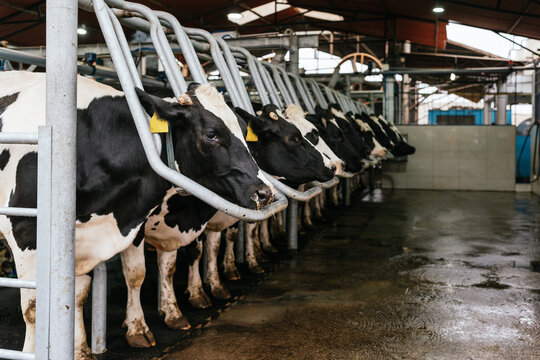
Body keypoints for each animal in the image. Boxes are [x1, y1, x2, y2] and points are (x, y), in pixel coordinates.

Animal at [0, 71, 274, 358]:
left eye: (244, 133)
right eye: (211, 134)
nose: (265, 192)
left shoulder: (111, 229)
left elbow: (121, 278)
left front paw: (98, 342)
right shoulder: (26, 231)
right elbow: (33, 306)